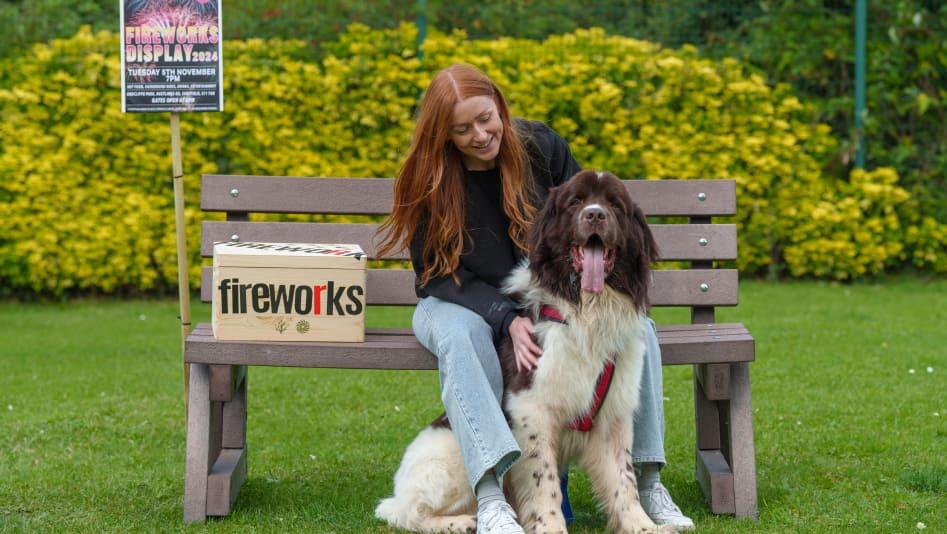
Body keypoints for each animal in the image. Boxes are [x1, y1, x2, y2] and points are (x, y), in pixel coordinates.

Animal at [374, 173, 672, 534]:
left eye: (615, 204)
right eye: (576, 201)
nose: (595, 215)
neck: (585, 310)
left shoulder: (614, 412)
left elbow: (622, 479)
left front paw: (642, 526)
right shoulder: (530, 407)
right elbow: (544, 481)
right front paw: (551, 528)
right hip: (446, 455)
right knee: (408, 511)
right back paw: (465, 521)